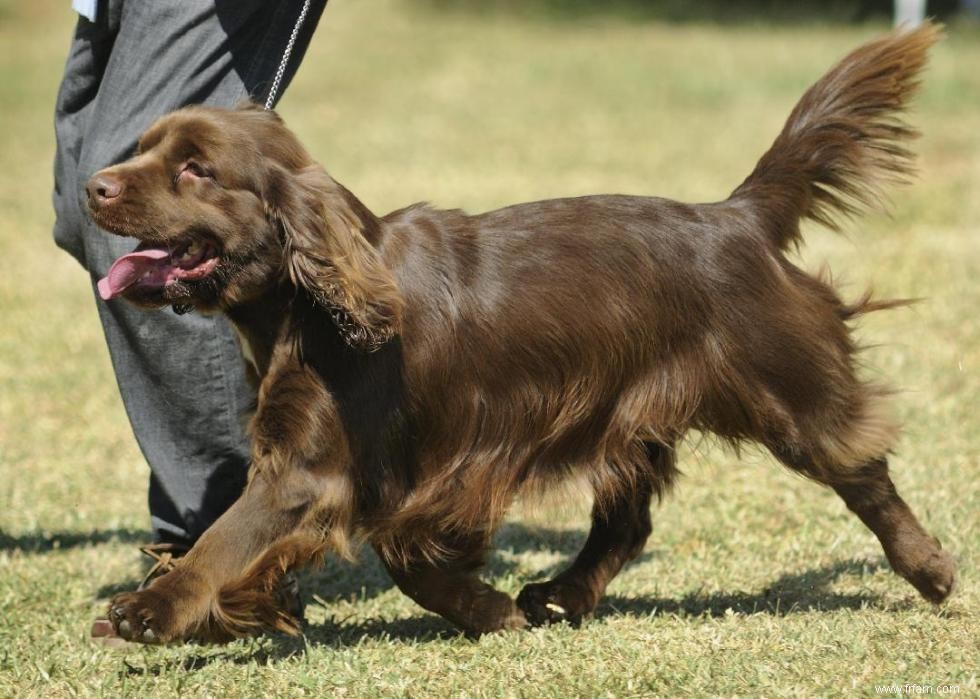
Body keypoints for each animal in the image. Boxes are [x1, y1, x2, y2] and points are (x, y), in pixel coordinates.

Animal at [88, 23, 952, 644]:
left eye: (195, 169)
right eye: (146, 150)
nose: (94, 185)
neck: (309, 305)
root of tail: (737, 216)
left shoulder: (318, 467)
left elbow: (229, 537)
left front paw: (151, 608)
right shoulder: (393, 469)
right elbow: (398, 557)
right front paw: (488, 608)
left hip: (786, 389)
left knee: (861, 468)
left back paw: (932, 569)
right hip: (628, 412)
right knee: (628, 519)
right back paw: (561, 595)